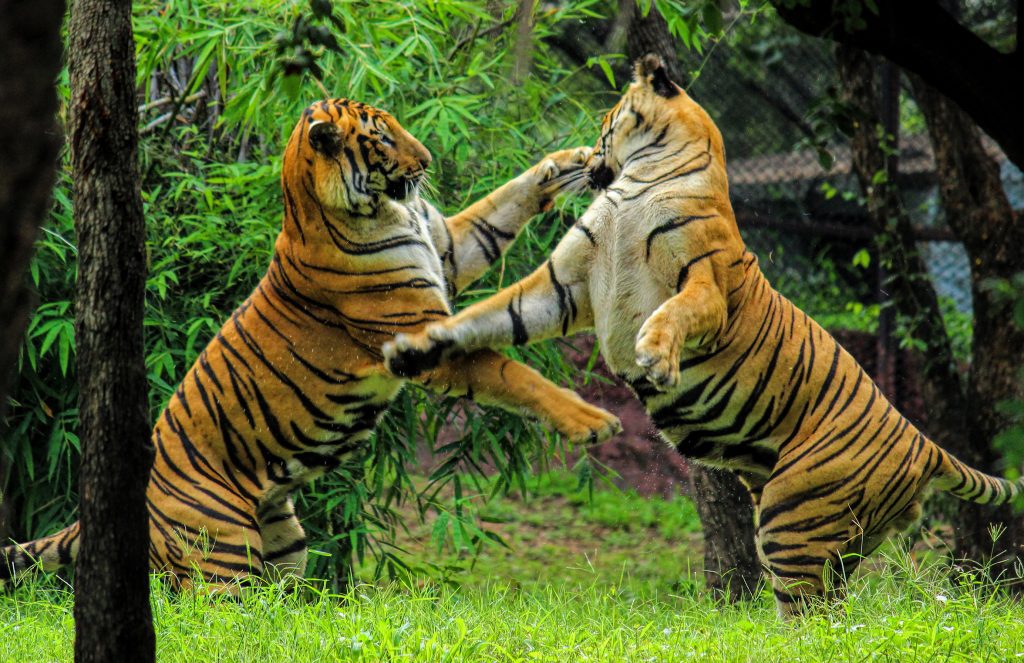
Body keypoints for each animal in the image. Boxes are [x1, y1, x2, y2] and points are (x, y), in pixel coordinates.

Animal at [0, 98, 621, 589]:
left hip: (285, 541)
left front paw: (566, 162)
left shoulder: (448, 248)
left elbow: (502, 205)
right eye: (382, 136)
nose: (427, 162)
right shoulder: (421, 334)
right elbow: (513, 375)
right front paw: (593, 422)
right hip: (223, 554)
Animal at [383, 55, 1024, 617]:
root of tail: (923, 442)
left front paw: (655, 358)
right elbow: (489, 314)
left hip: (795, 514)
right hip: (828, 533)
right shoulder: (564, 286)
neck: (639, 179)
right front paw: (415, 345)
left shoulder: (704, 284)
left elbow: (673, 315)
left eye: (605, 121)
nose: (588, 156)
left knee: (811, 617)